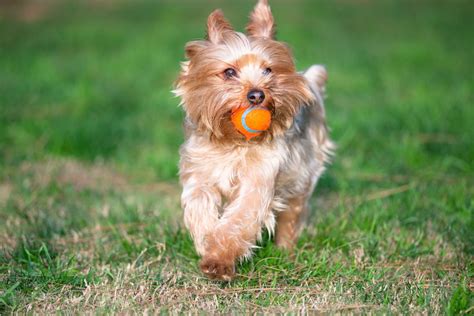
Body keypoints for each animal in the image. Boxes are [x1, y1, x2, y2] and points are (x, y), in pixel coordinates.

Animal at [174, 0, 334, 282]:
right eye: (229, 72)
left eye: (268, 70)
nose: (257, 94)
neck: (233, 141)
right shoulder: (200, 172)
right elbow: (199, 208)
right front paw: (207, 243)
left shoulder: (259, 177)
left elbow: (241, 216)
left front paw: (219, 259)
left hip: (302, 173)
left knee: (292, 212)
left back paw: (285, 251)